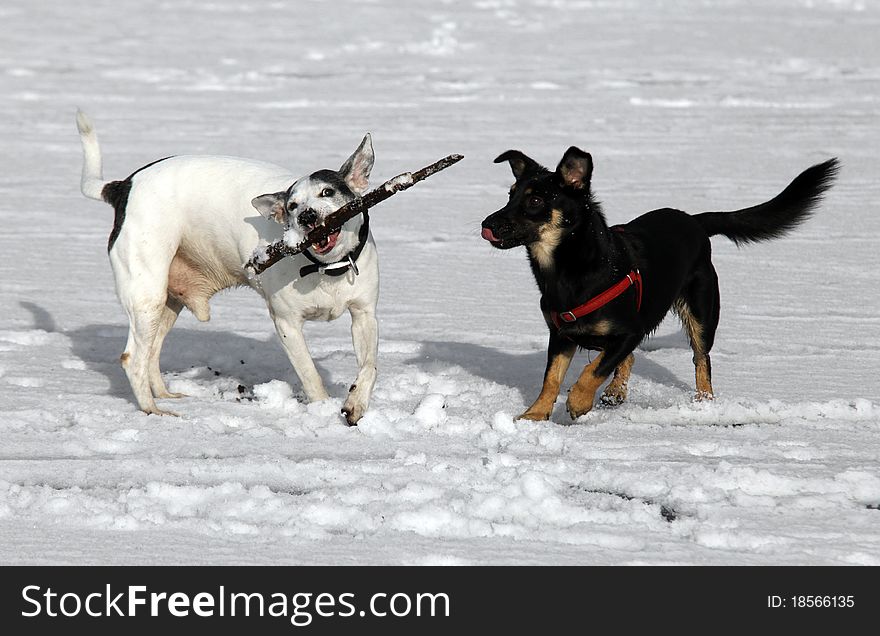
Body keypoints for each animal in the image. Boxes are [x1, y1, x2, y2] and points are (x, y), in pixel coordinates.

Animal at [76, 112, 378, 424]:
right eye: (292, 206)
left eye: (327, 192)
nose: (306, 216)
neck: (327, 269)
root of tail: (124, 186)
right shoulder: (287, 325)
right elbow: (310, 375)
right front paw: (322, 411)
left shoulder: (365, 315)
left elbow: (370, 366)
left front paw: (356, 403)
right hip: (147, 294)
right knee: (133, 358)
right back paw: (153, 409)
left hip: (167, 303)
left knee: (152, 351)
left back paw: (164, 394)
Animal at [482, 149, 840, 422]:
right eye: (511, 195)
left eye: (535, 200)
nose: (487, 224)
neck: (568, 269)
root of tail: (695, 221)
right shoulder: (561, 335)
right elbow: (551, 379)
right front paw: (534, 415)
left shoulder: (630, 330)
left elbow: (594, 370)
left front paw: (579, 402)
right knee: (629, 360)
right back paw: (615, 392)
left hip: (702, 309)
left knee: (701, 360)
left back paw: (704, 404)